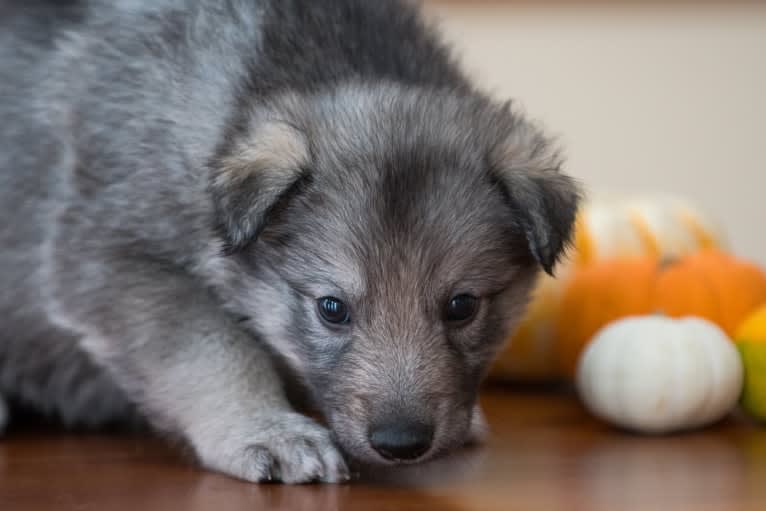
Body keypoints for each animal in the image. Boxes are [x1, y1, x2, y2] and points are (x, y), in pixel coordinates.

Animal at [0, 0, 584, 484]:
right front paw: (266, 428)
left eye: (462, 307)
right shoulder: (116, 262)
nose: (401, 445)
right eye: (332, 308)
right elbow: (215, 351)